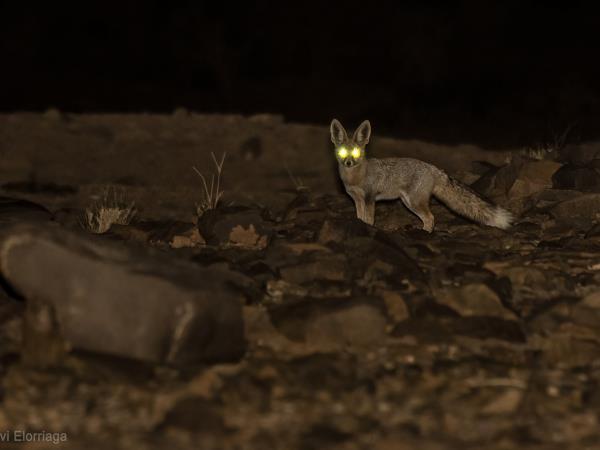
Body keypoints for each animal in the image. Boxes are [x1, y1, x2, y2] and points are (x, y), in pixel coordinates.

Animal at [330, 118, 512, 232]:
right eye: (343, 152)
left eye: (355, 152)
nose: (348, 163)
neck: (355, 177)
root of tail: (433, 167)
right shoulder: (357, 199)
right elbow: (360, 218)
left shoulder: (369, 198)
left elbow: (369, 220)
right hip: (409, 203)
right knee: (428, 219)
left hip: (414, 202)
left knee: (431, 218)